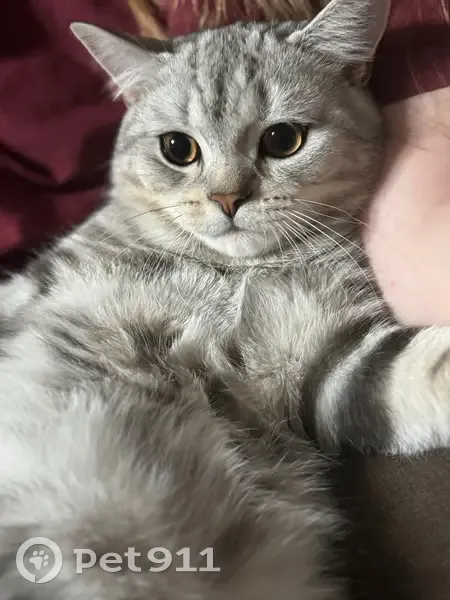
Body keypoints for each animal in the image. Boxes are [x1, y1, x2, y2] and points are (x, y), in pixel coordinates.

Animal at [0, 0, 449, 597]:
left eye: (283, 140)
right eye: (177, 148)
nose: (227, 199)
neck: (235, 272)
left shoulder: (335, 359)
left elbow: (427, 366)